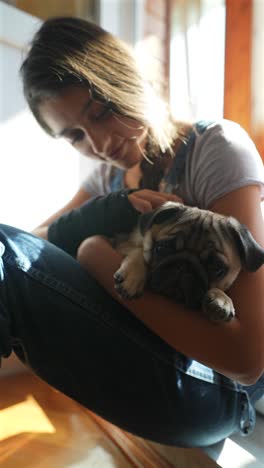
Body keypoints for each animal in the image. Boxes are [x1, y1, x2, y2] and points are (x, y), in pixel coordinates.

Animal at [113, 201, 264, 322]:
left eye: (216, 268)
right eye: (161, 248)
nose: (183, 266)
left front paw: (222, 298)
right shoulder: (123, 243)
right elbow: (139, 251)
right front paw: (133, 276)